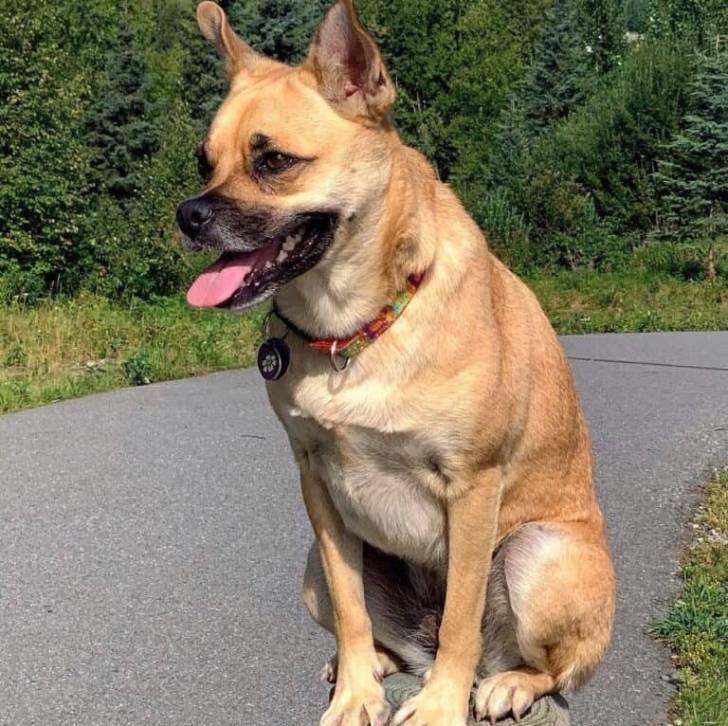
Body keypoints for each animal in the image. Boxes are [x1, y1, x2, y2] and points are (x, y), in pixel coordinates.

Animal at [176, 2, 616, 724]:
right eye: (203, 162)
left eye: (274, 161)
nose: (188, 214)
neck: (353, 327)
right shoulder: (317, 485)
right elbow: (351, 608)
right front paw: (357, 692)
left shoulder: (472, 486)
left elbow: (463, 617)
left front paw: (440, 707)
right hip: (313, 568)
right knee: (378, 629)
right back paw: (376, 664)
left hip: (540, 554)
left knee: (548, 666)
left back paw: (507, 683)